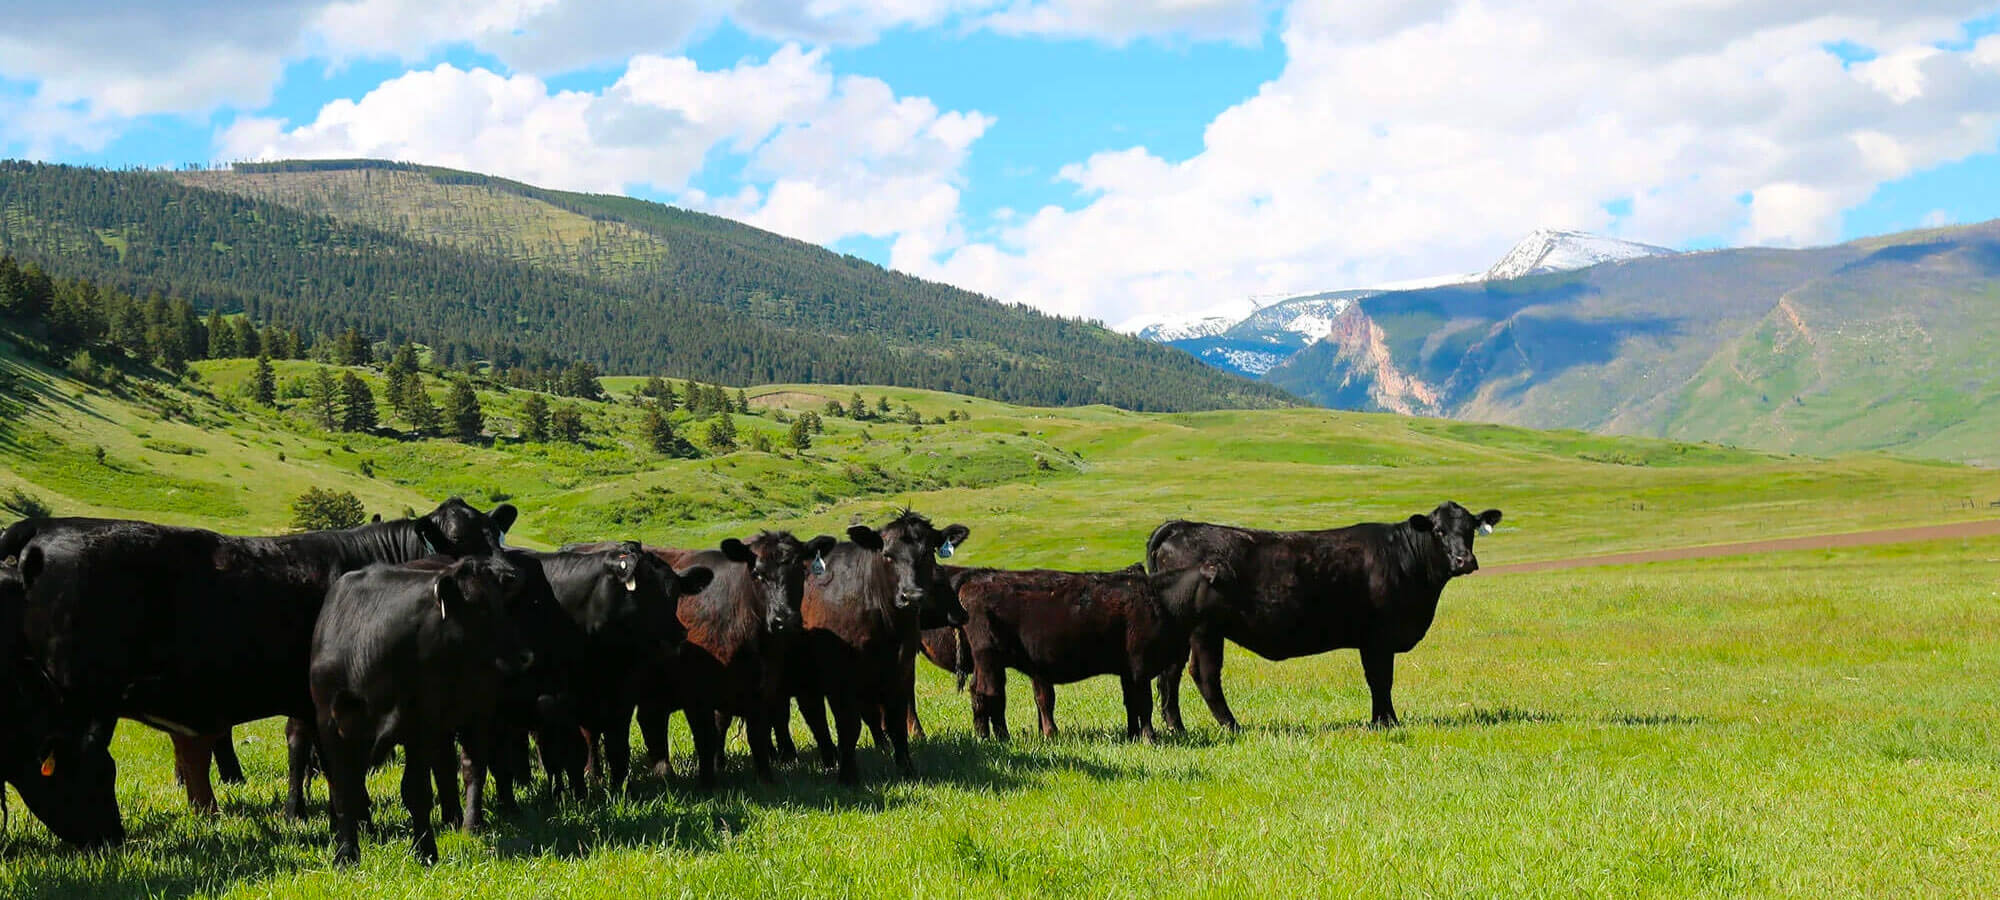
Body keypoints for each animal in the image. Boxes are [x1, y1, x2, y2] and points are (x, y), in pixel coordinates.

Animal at [310, 555, 531, 865]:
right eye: (481, 607)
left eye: (501, 603)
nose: (526, 656)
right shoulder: (330, 725)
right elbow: (344, 791)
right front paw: (346, 854)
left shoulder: (418, 725)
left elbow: (416, 791)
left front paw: (425, 851)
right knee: (446, 765)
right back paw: (452, 817)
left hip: (477, 713)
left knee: (474, 767)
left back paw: (471, 823)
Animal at [634, 531, 834, 787]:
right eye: (757, 573)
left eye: (801, 570)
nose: (785, 620)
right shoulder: (697, 693)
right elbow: (706, 737)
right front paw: (707, 784)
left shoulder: (761, 690)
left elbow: (757, 734)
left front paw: (766, 779)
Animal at [948, 562, 1231, 742]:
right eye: (1231, 583)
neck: (1160, 600)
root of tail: (975, 578)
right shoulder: (1139, 667)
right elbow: (1144, 704)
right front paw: (1150, 738)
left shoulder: (1128, 672)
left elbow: (1131, 704)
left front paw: (1132, 736)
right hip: (989, 658)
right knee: (988, 694)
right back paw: (994, 738)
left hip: (989, 664)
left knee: (985, 694)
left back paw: (992, 736)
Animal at [1145, 501, 1503, 731]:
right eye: (1439, 531)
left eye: (1471, 529)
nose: (1464, 560)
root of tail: (1182, 527)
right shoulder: (1378, 638)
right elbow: (1380, 680)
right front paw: (1386, 722)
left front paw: (1381, 720)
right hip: (1205, 631)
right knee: (1203, 675)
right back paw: (1232, 726)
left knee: (1169, 675)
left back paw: (1177, 728)